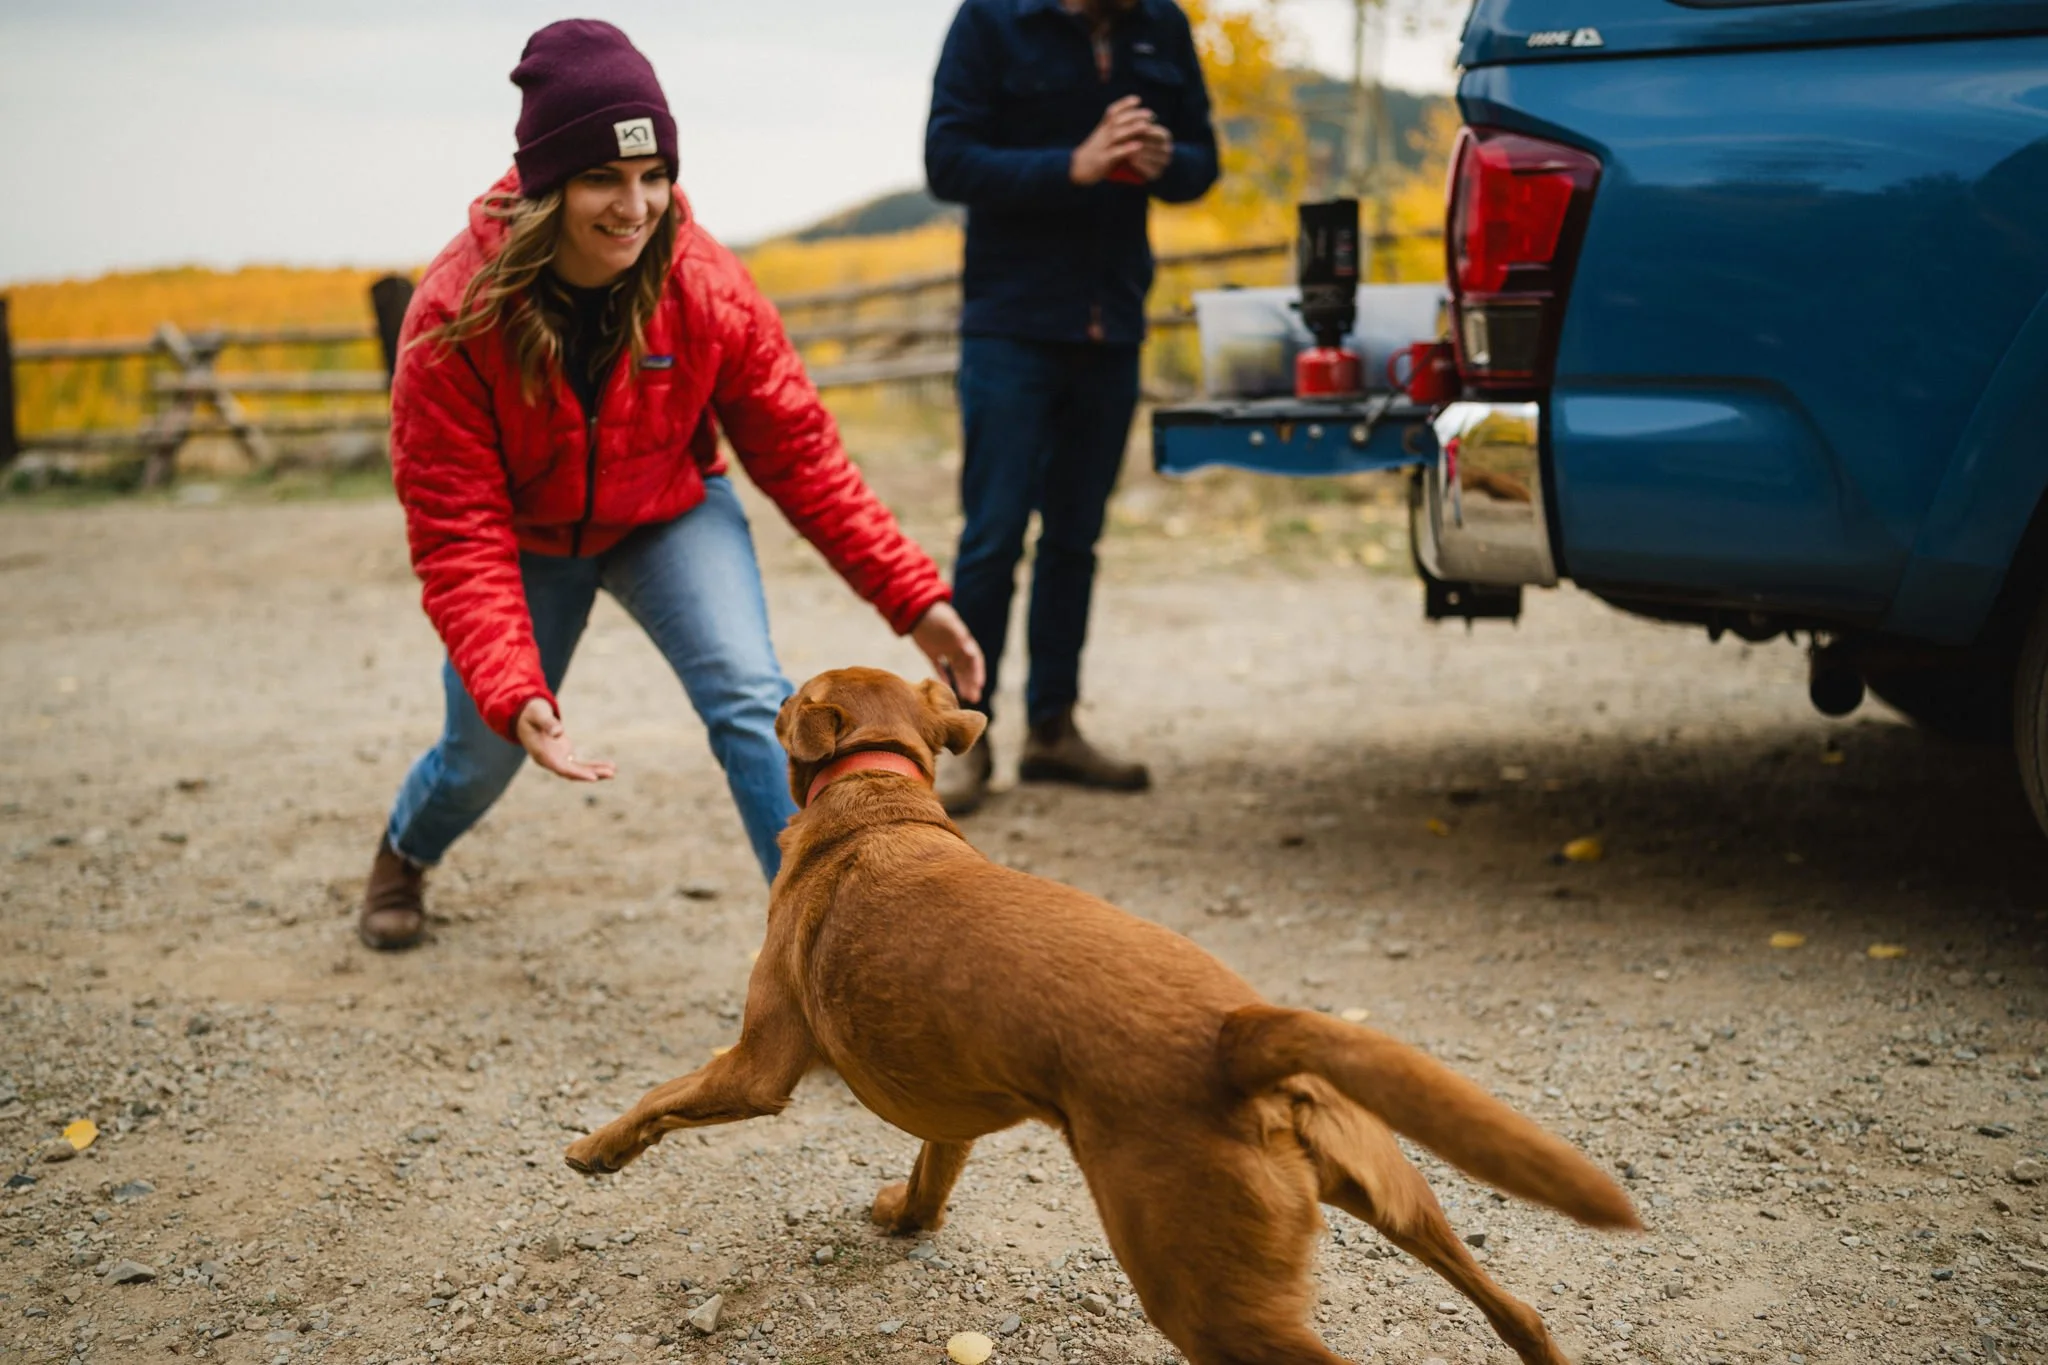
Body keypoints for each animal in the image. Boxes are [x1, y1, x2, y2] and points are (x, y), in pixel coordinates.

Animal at [567, 667, 1638, 1365]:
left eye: (794, 694)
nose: (774, 694)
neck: (876, 795)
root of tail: (1238, 1033)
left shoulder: (758, 1065)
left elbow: (660, 1098)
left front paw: (595, 1149)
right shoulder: (952, 1115)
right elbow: (929, 1177)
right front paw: (905, 1215)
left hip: (1205, 1297)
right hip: (1396, 1198)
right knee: (1520, 1312)